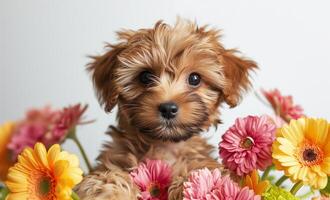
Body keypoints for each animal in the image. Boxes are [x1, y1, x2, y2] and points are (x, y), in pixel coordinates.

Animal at [76, 18, 256, 199]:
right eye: (145, 77)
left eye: (195, 78)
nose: (168, 108)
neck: (164, 146)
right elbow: (107, 176)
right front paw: (112, 192)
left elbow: (200, 174)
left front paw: (186, 186)